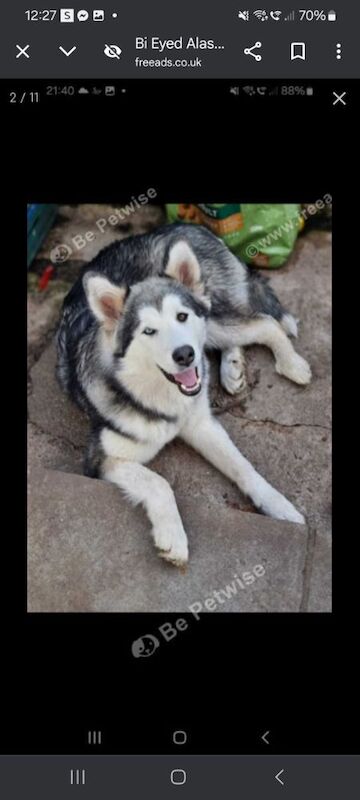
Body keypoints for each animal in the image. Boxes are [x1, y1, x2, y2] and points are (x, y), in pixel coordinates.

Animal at [57, 222, 310, 564]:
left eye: (181, 316)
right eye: (148, 331)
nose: (185, 355)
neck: (165, 396)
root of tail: (186, 225)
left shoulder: (201, 424)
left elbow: (243, 467)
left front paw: (279, 505)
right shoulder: (102, 458)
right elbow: (158, 482)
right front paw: (173, 537)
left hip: (213, 318)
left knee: (265, 323)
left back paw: (290, 364)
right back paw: (232, 368)